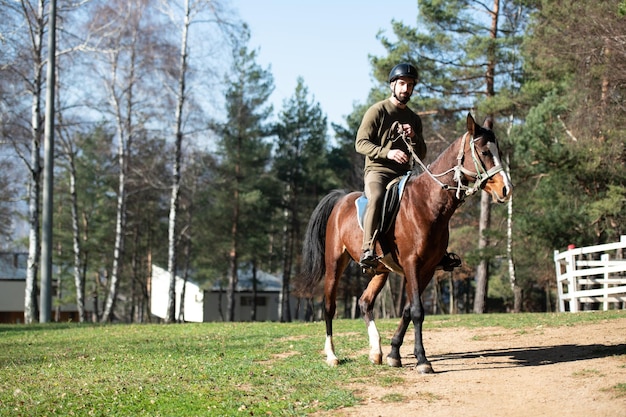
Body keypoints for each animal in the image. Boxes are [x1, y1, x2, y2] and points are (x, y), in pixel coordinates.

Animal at [298, 112, 512, 372]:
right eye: (484, 152)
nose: (506, 189)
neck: (428, 203)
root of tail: (341, 199)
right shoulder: (412, 264)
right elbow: (418, 310)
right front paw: (422, 360)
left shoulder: (427, 268)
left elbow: (409, 309)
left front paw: (393, 353)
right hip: (334, 264)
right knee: (329, 306)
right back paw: (332, 355)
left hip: (381, 271)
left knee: (365, 302)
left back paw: (376, 351)